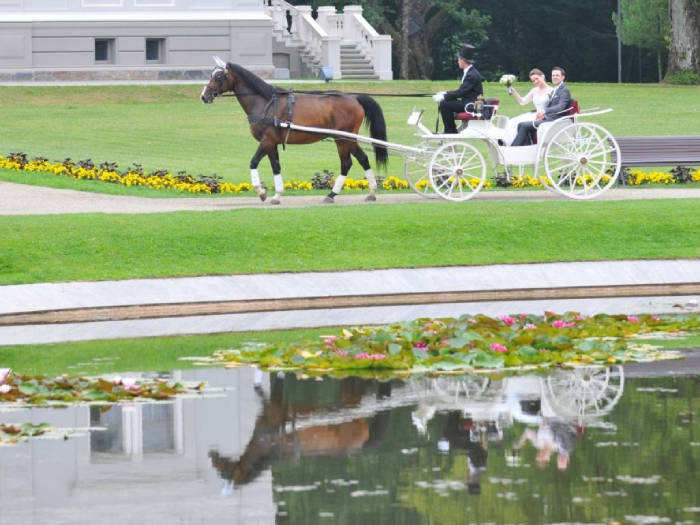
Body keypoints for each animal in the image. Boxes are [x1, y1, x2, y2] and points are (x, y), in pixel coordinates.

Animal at [200, 57, 388, 204]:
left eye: (218, 76)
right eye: (212, 74)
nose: (204, 96)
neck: (266, 102)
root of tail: (354, 98)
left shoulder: (266, 141)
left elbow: (253, 162)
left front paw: (261, 192)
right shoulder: (272, 143)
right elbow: (276, 166)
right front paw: (276, 195)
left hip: (342, 139)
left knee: (346, 163)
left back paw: (332, 194)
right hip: (348, 139)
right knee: (363, 159)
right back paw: (371, 193)